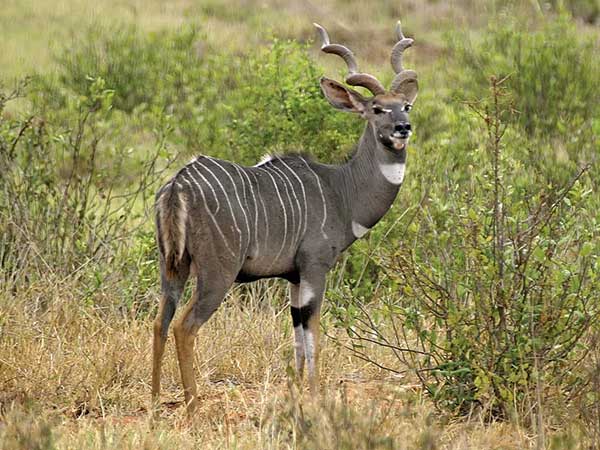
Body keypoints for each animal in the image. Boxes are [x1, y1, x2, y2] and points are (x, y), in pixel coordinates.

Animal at [152, 21, 420, 414]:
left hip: (173, 266)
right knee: (184, 327)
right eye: (376, 109)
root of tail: (178, 185)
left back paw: (155, 400)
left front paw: (295, 393)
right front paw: (315, 396)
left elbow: (297, 335)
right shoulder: (315, 266)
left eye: (405, 105)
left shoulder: (293, 277)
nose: (403, 128)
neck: (341, 190)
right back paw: (193, 406)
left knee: (160, 321)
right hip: (217, 273)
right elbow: (314, 334)